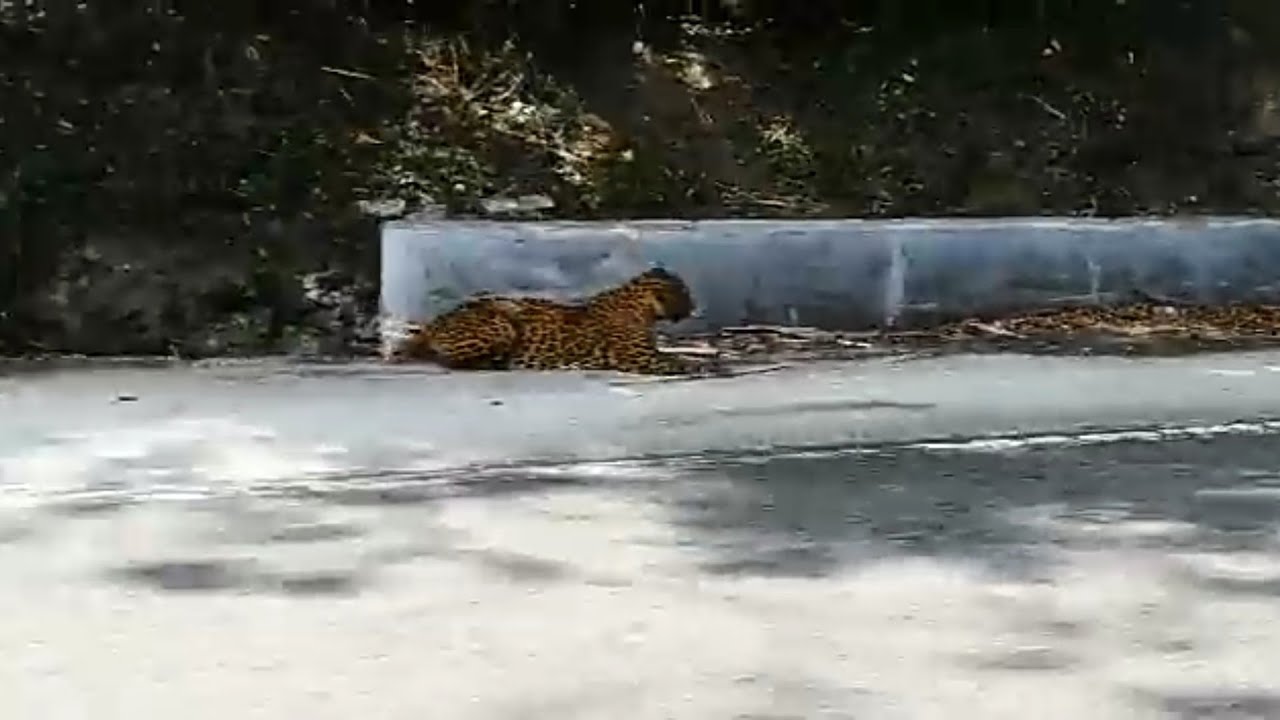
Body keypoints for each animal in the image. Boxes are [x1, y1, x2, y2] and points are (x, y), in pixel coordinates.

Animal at [385, 267, 709, 375]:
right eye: (684, 293)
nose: (695, 307)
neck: (642, 309)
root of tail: (433, 323)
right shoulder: (642, 359)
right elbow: (679, 361)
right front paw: (708, 365)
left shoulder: (650, 354)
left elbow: (679, 356)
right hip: (503, 319)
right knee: (453, 362)